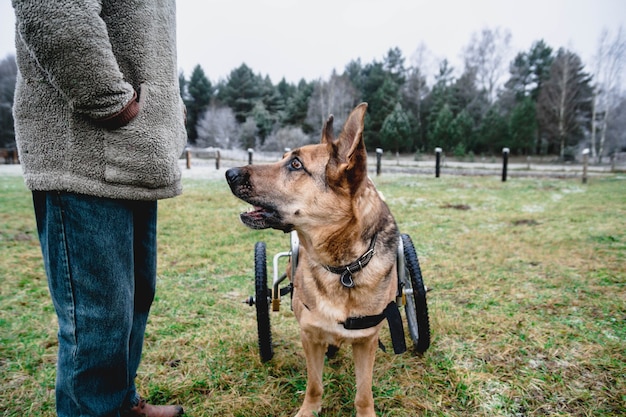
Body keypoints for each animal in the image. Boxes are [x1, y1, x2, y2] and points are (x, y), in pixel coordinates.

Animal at [224, 103, 400, 416]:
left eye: (296, 165)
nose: (229, 173)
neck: (344, 268)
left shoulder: (366, 342)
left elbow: (364, 391)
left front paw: (365, 412)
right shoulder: (310, 337)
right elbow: (314, 384)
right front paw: (309, 410)